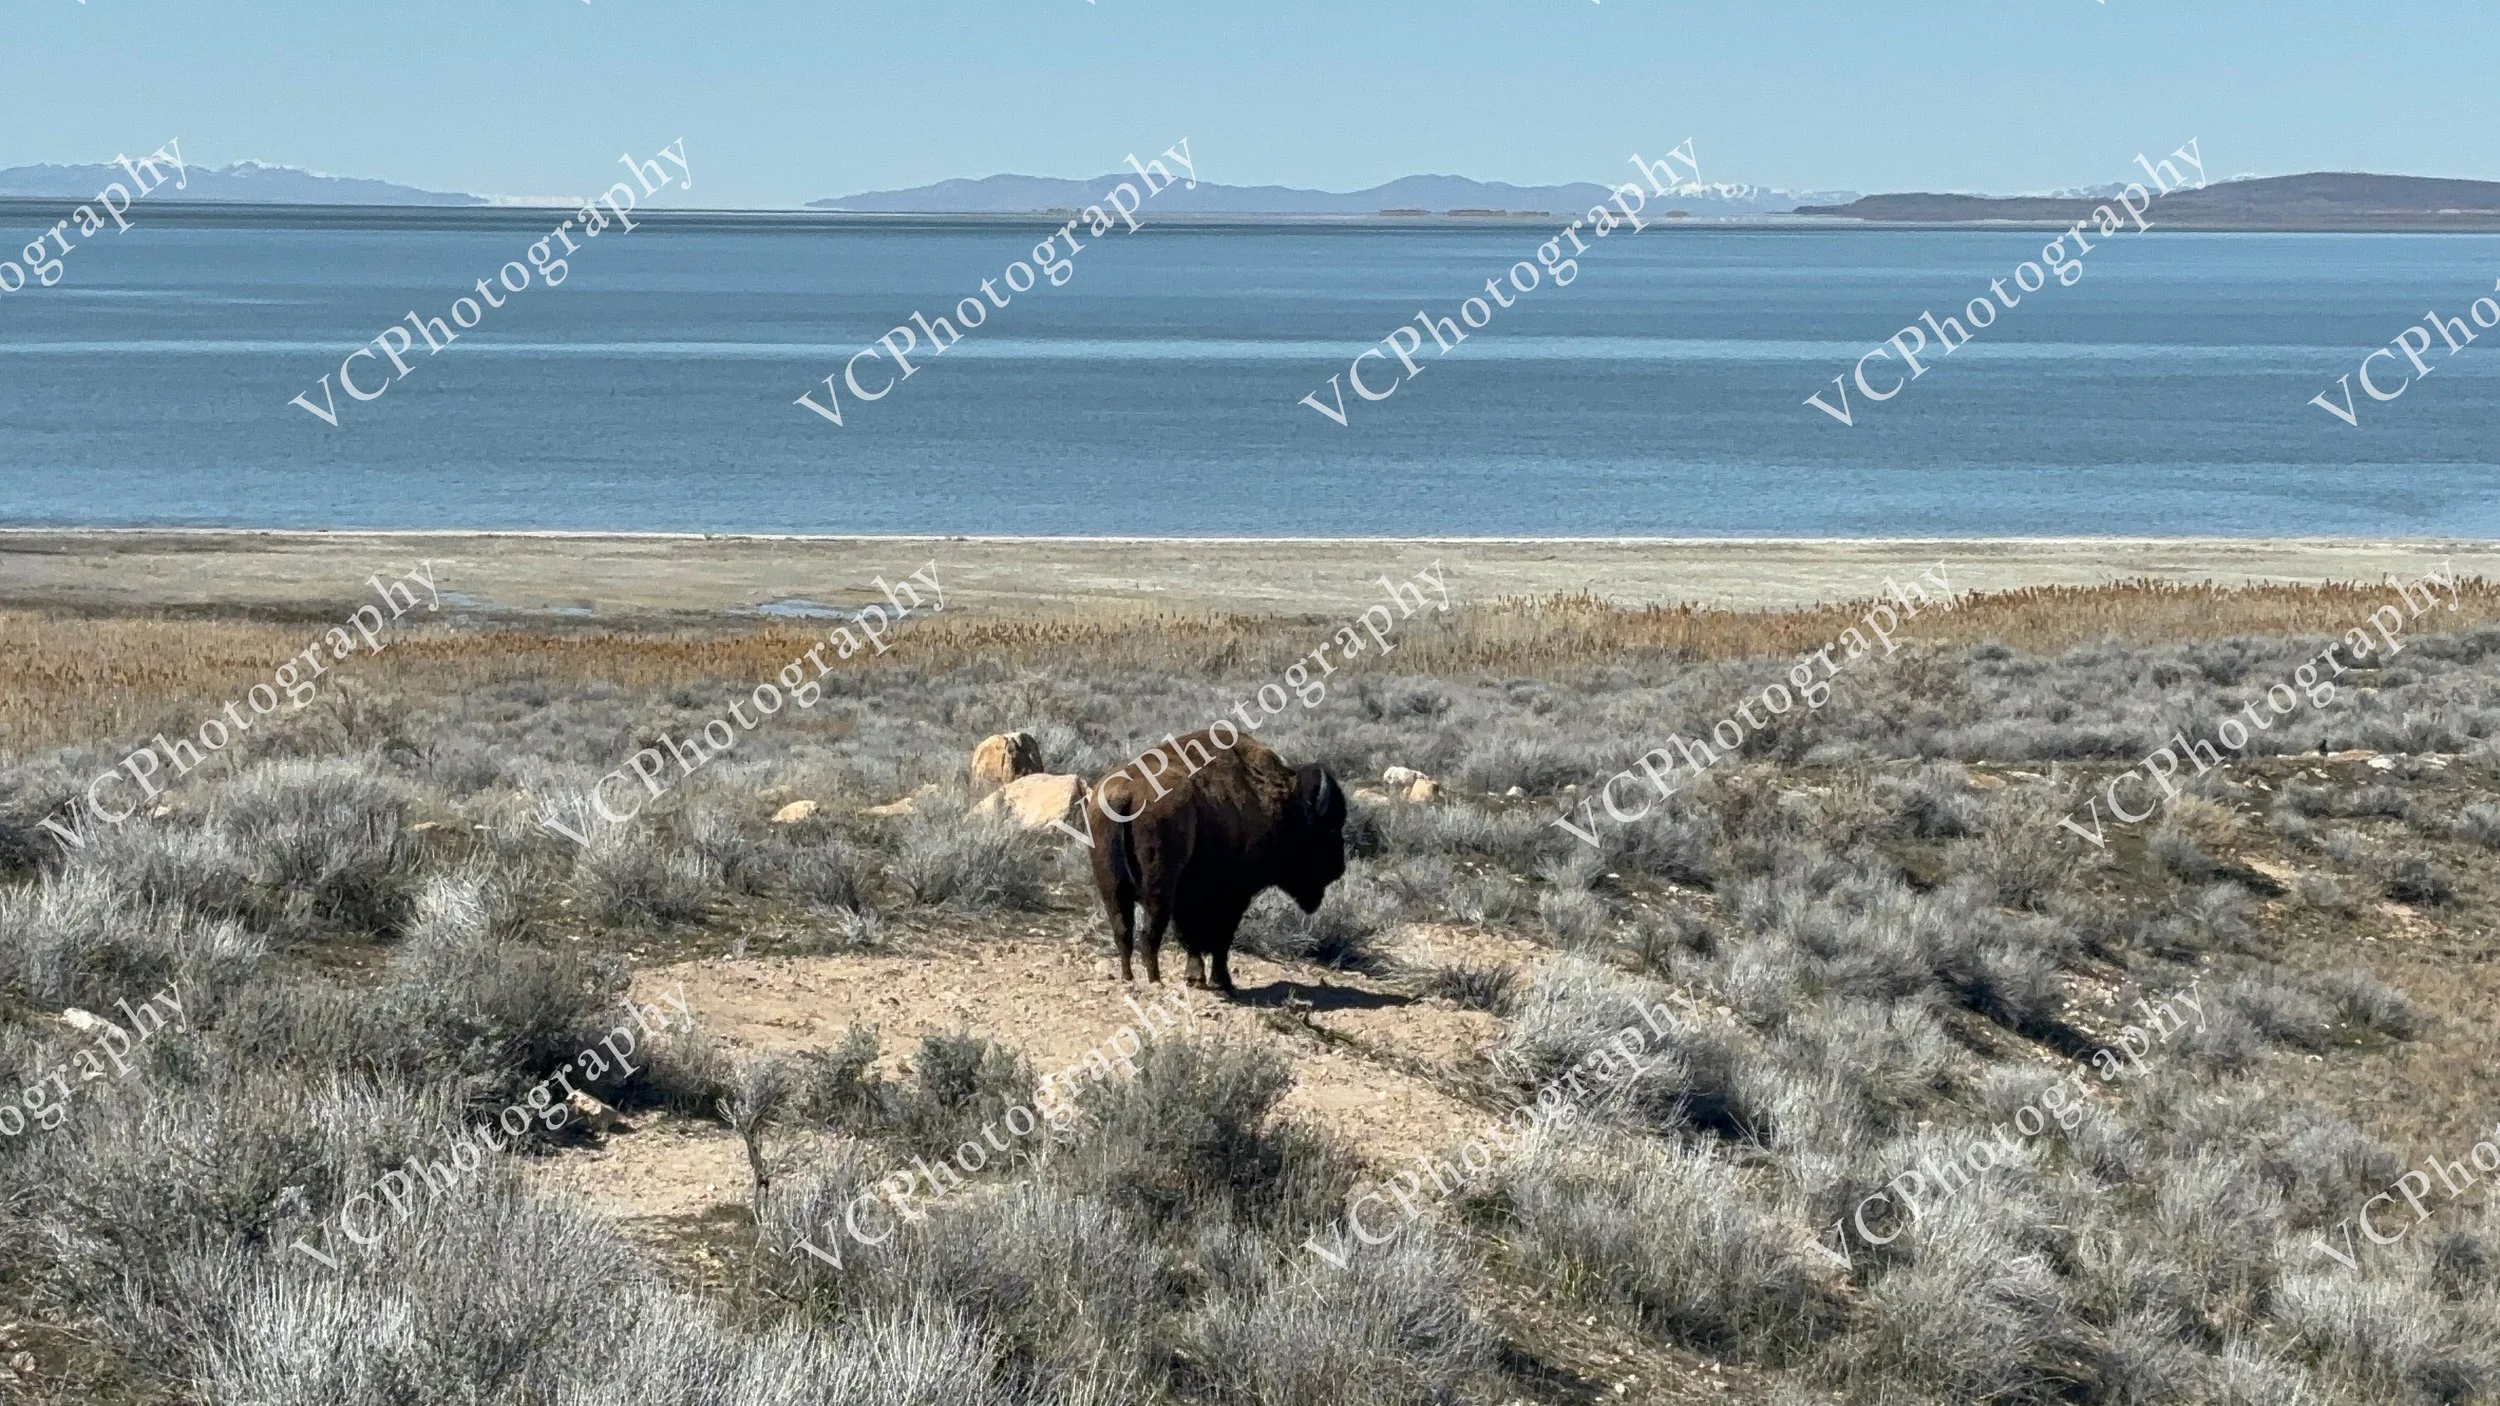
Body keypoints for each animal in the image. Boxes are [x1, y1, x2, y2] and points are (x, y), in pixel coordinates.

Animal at [1086, 729, 1348, 994]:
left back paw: (1128, 977)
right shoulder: (1234, 894)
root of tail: (1128, 793)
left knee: (1123, 930)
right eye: (1330, 828)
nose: (1339, 868)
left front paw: (1196, 977)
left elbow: (1192, 936)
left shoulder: (1191, 896)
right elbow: (1220, 938)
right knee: (1149, 933)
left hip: (1112, 889)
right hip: (1158, 889)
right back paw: (1155, 980)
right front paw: (1220, 981)